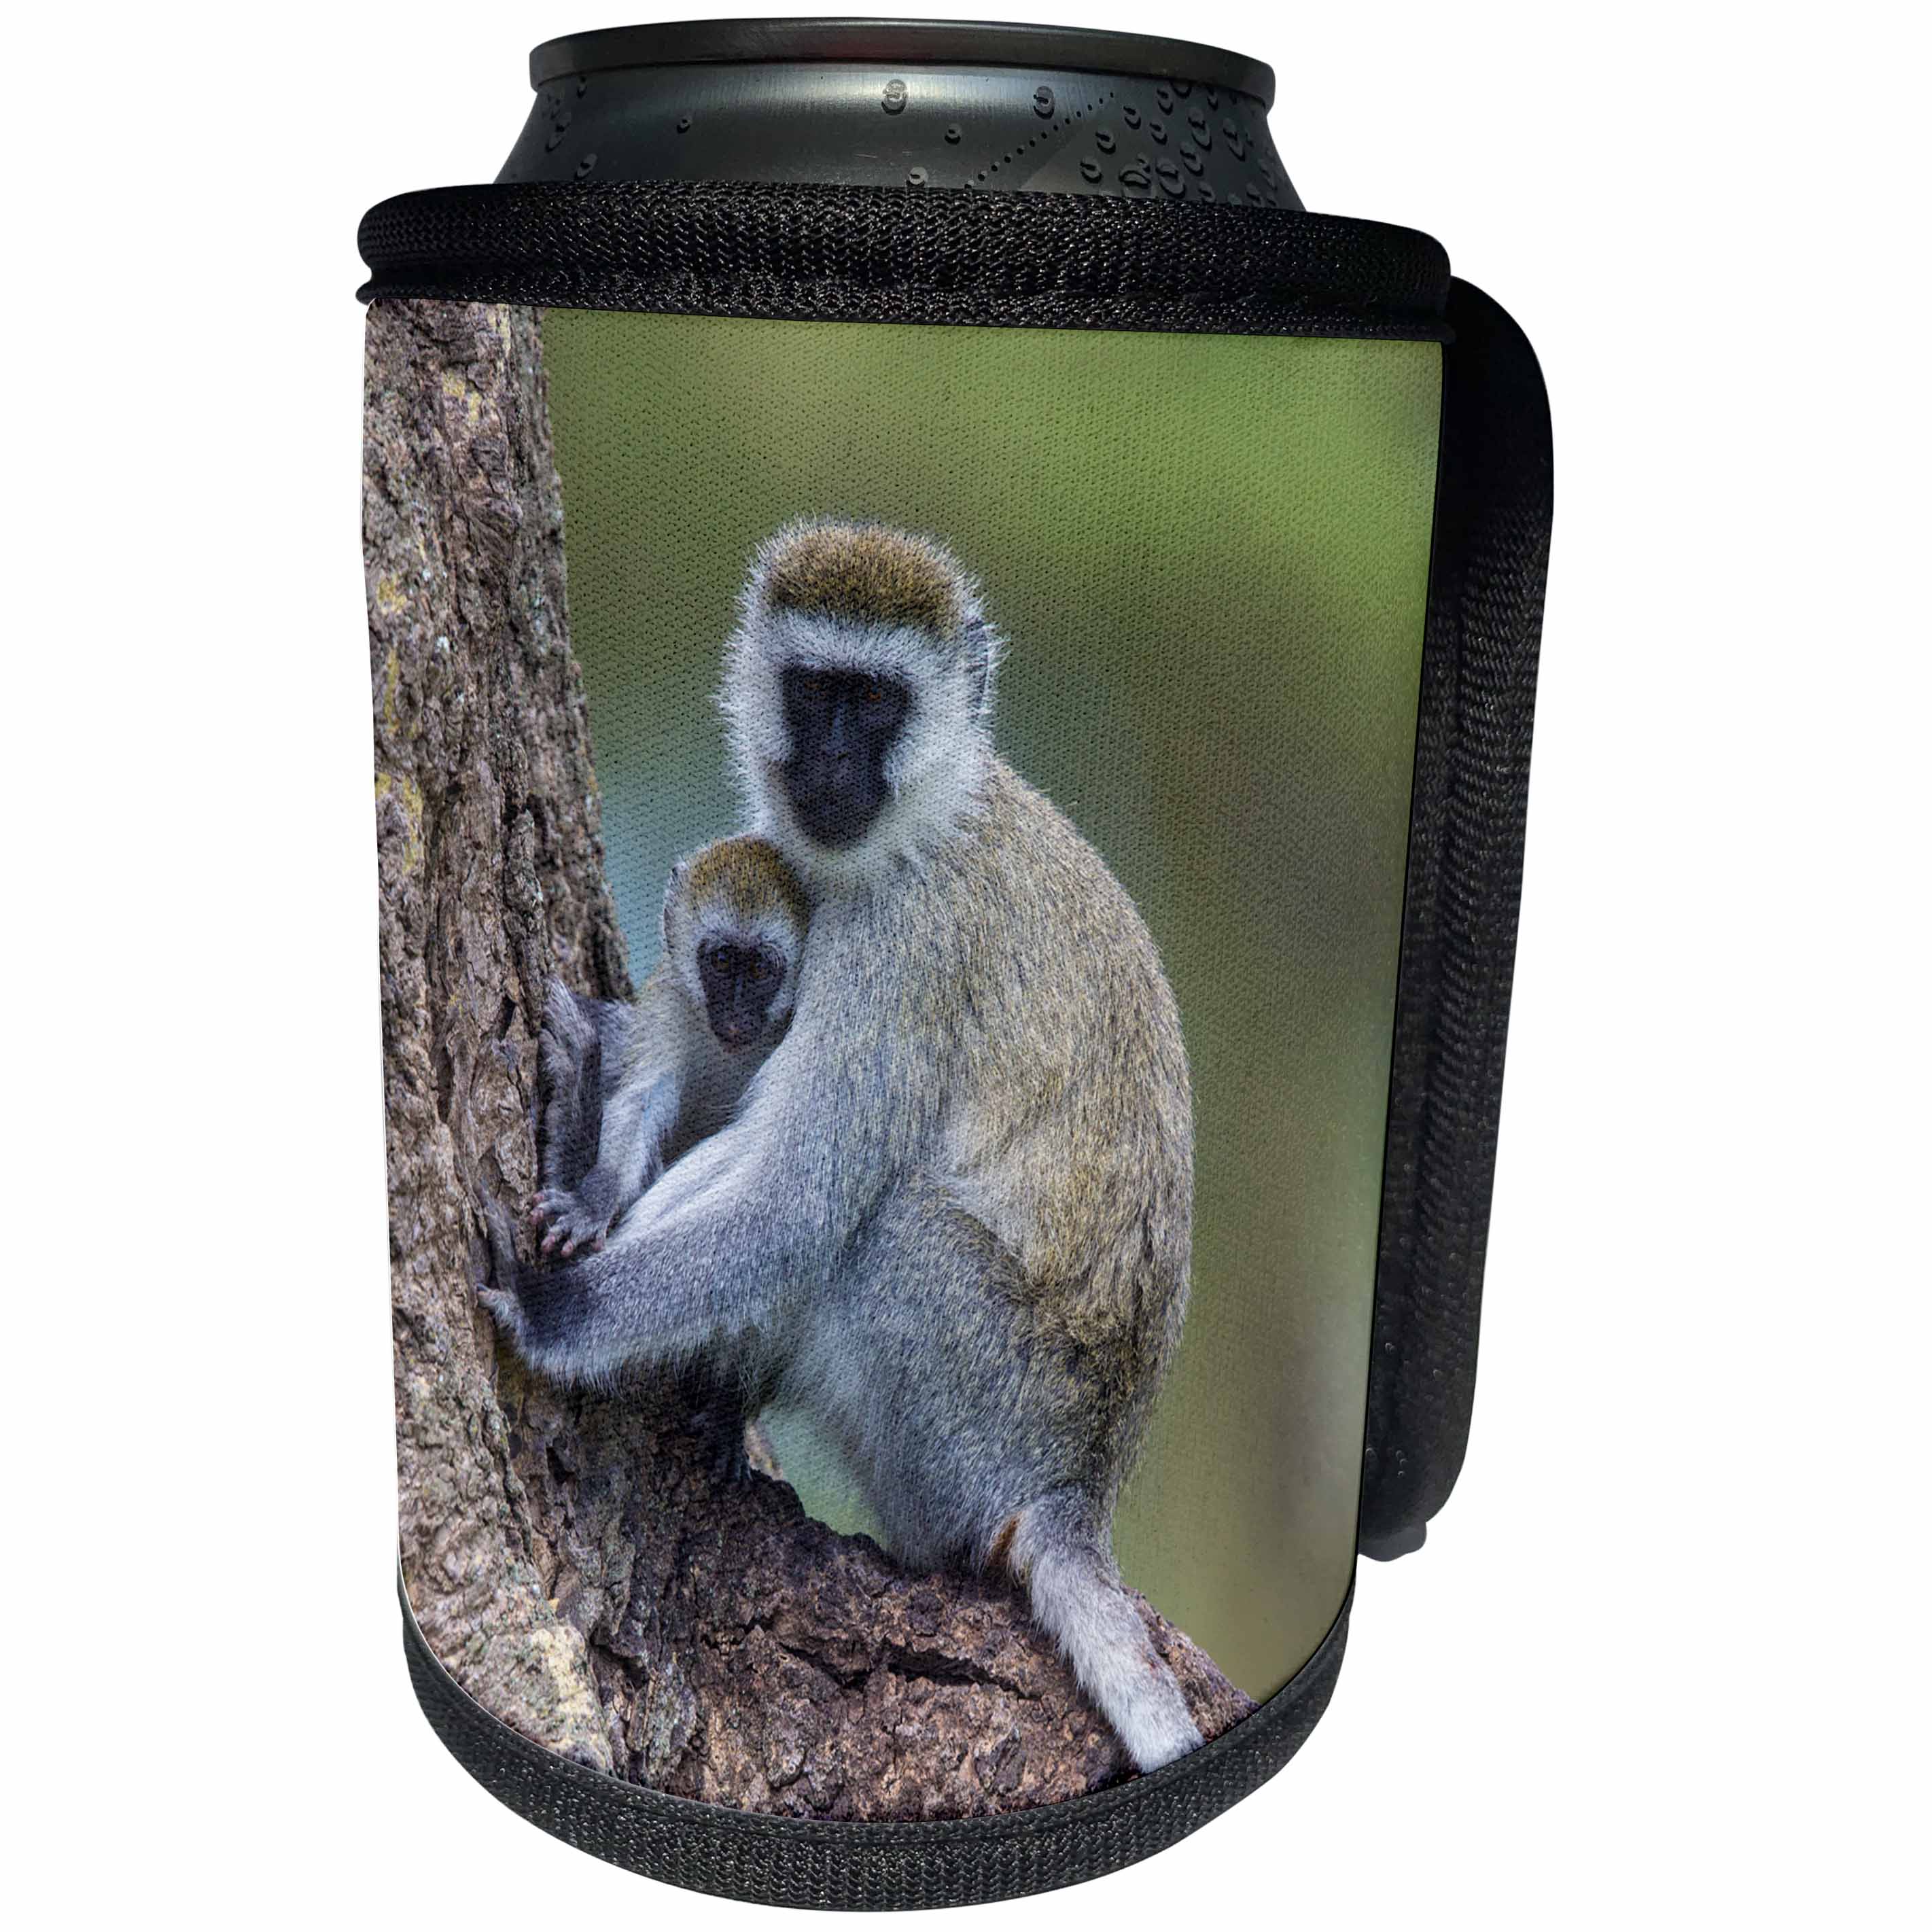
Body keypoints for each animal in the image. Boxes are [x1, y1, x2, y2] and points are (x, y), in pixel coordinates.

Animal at [529, 832, 810, 1260]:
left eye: (761, 969)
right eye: (722, 961)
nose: (736, 1015)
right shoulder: (670, 1004)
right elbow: (643, 1100)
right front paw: (595, 1199)